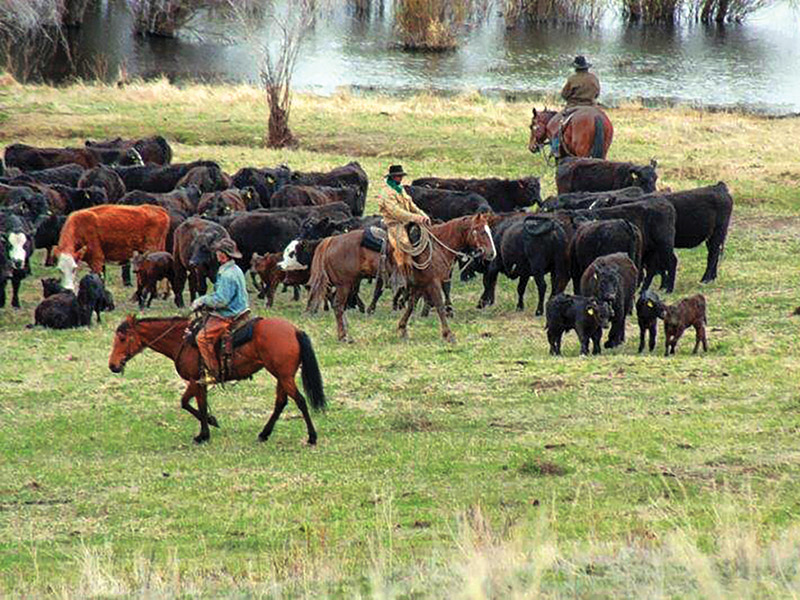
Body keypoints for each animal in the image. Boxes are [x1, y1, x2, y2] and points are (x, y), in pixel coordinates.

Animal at [108, 314, 326, 445]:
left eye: (122, 338)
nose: (113, 365)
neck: (182, 340)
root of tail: (295, 330)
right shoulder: (198, 382)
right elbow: (191, 403)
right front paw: (211, 423)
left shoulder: (195, 379)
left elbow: (194, 404)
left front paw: (203, 434)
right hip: (282, 375)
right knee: (281, 402)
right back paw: (264, 434)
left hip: (284, 376)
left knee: (300, 401)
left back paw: (312, 437)